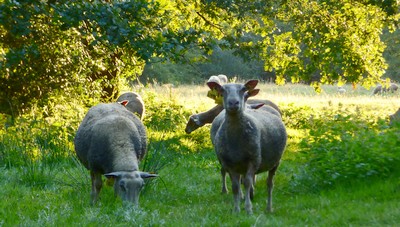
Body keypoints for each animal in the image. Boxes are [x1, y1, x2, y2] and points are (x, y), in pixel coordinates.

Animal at [206, 80, 288, 215]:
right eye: (222, 90)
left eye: (244, 89)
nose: (233, 103)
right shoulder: (229, 163)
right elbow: (235, 186)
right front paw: (236, 209)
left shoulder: (253, 160)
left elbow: (248, 182)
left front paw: (248, 208)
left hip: (275, 162)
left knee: (269, 184)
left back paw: (269, 207)